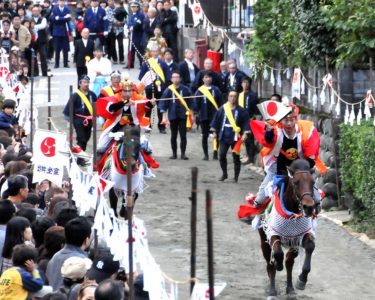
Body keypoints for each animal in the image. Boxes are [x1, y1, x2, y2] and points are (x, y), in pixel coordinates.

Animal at [260, 158, 318, 298]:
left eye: (313, 182)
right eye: (296, 182)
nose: (309, 207)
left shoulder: (300, 235)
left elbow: (310, 247)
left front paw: (302, 280)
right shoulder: (273, 233)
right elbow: (277, 253)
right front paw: (278, 264)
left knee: (289, 263)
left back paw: (290, 289)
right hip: (263, 240)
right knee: (270, 264)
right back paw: (272, 291)